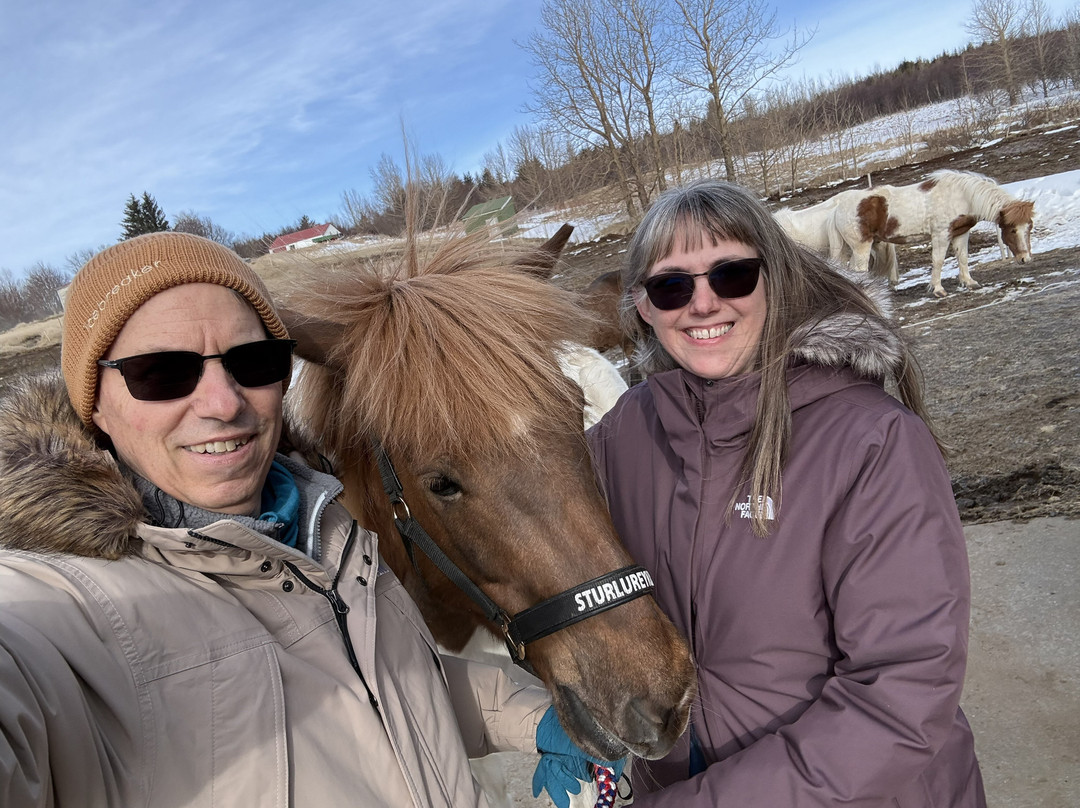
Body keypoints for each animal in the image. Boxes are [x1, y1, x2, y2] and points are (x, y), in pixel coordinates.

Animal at [827, 169, 1034, 297]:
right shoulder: (941, 235)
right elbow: (938, 260)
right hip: (861, 247)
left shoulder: (960, 233)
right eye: (1013, 229)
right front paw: (938, 289)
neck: (962, 195)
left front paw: (969, 282)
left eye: (1029, 227)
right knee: (858, 272)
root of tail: (837, 208)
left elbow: (962, 257)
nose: (1025, 259)